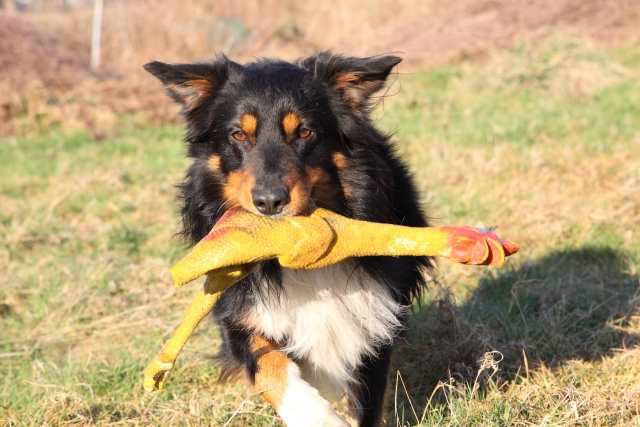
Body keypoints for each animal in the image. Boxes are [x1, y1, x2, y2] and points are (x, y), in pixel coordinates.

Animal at [145, 53, 436, 427]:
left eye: (305, 132)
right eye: (238, 134)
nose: (269, 202)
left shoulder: (376, 316)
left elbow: (365, 401)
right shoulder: (238, 311)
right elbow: (270, 369)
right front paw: (318, 417)